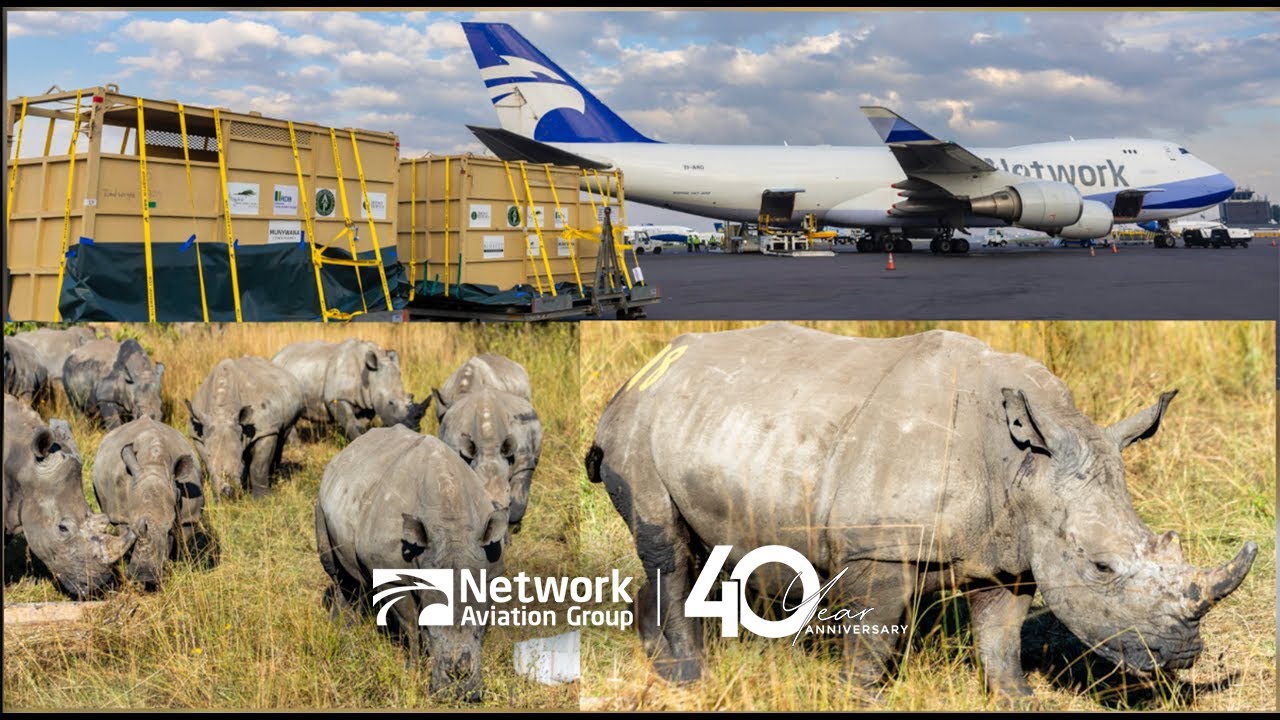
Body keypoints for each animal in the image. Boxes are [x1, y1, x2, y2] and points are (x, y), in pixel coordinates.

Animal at [92, 417, 205, 588]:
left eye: (169, 531)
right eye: (132, 528)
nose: (144, 577)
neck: (155, 466)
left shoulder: (189, 517)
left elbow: (183, 542)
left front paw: (176, 566)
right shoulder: (120, 516)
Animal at [187, 356, 303, 499]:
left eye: (239, 458)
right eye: (209, 455)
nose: (227, 492)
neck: (222, 411)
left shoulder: (265, 431)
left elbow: (258, 467)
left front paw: (262, 499)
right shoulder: (198, 434)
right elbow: (210, 465)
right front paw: (217, 498)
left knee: (282, 436)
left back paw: (273, 478)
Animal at [272, 339, 430, 440]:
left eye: (411, 397)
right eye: (390, 403)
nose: (413, 430)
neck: (369, 374)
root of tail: (276, 356)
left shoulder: (367, 401)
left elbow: (361, 423)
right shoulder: (336, 398)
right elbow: (349, 421)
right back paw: (296, 446)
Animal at [315, 426, 508, 701]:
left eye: (479, 631)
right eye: (429, 631)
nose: (458, 690)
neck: (451, 527)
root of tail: (345, 451)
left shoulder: (490, 570)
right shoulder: (390, 575)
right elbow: (410, 625)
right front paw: (413, 671)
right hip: (321, 501)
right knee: (336, 571)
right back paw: (342, 634)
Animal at [586, 324, 1258, 702]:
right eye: (1099, 567)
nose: (1182, 656)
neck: (1022, 466)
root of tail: (641, 372)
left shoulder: (1011, 550)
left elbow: (1001, 637)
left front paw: (1019, 699)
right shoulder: (879, 547)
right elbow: (874, 639)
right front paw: (861, 699)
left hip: (714, 423)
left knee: (690, 550)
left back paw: (662, 663)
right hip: (641, 427)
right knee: (669, 549)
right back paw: (687, 676)